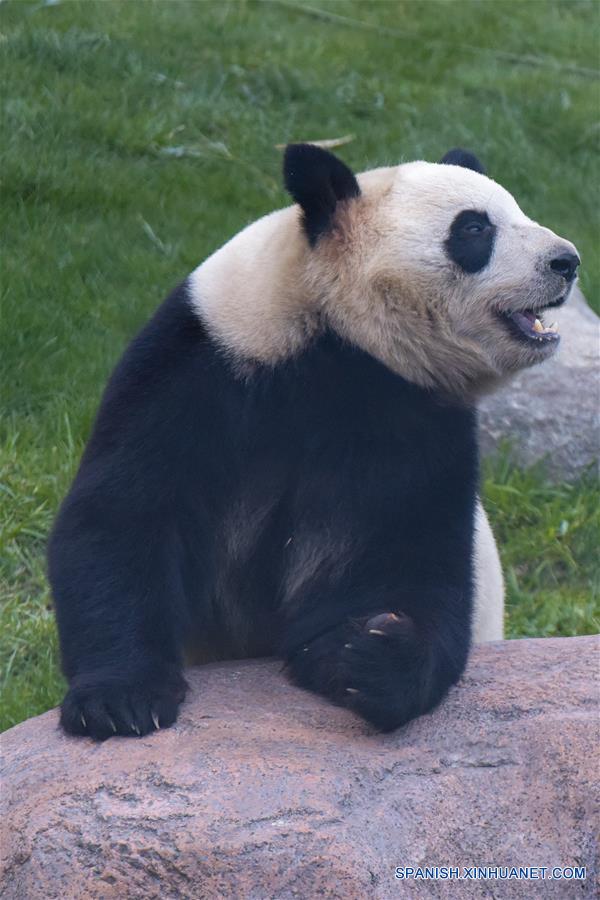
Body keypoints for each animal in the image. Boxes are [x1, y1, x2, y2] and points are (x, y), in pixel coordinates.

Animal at [48, 144, 579, 739]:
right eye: (473, 229)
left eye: (516, 210)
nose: (567, 261)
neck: (337, 339)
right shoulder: (198, 366)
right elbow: (125, 513)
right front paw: (120, 700)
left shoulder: (415, 420)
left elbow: (407, 556)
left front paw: (370, 657)